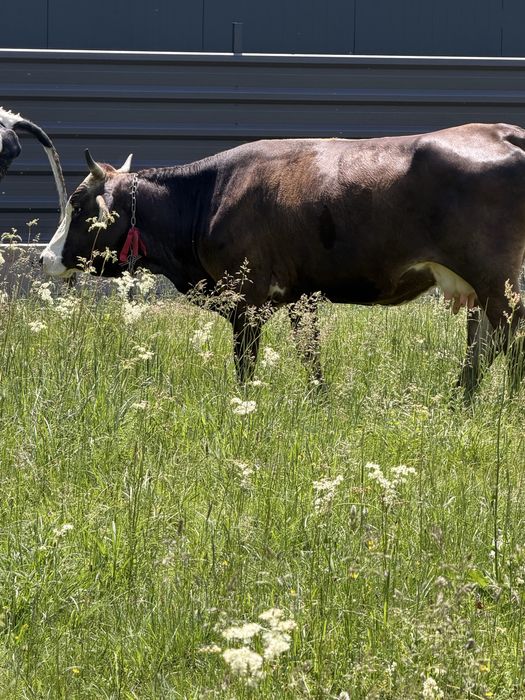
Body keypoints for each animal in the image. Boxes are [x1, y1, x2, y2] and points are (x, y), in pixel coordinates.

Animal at [40, 122, 525, 397]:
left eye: (78, 205)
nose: (45, 258)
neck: (207, 196)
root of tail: (502, 130)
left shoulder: (247, 298)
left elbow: (245, 364)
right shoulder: (301, 296)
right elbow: (310, 355)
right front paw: (320, 401)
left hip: (497, 281)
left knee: (510, 340)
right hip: (482, 287)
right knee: (483, 345)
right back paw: (458, 402)